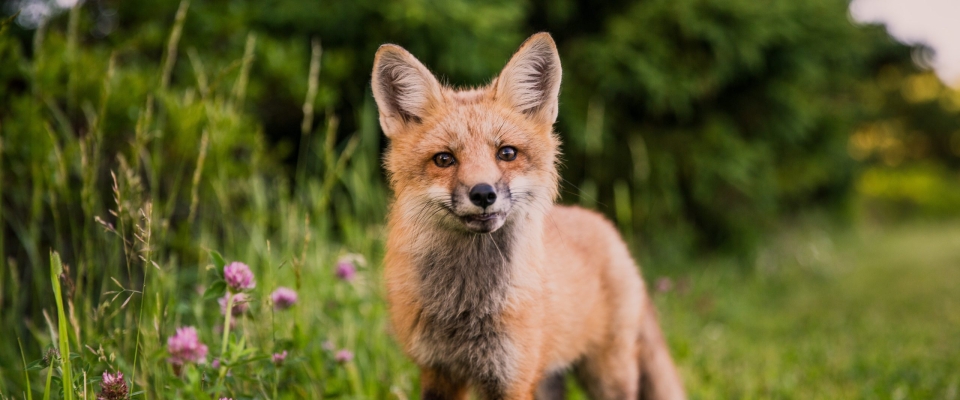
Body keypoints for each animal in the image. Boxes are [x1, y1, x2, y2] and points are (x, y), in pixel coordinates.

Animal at [372, 32, 688, 400]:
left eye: (506, 153)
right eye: (444, 159)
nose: (483, 194)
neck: (467, 306)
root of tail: (604, 225)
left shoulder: (511, 378)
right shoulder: (438, 372)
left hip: (607, 375)